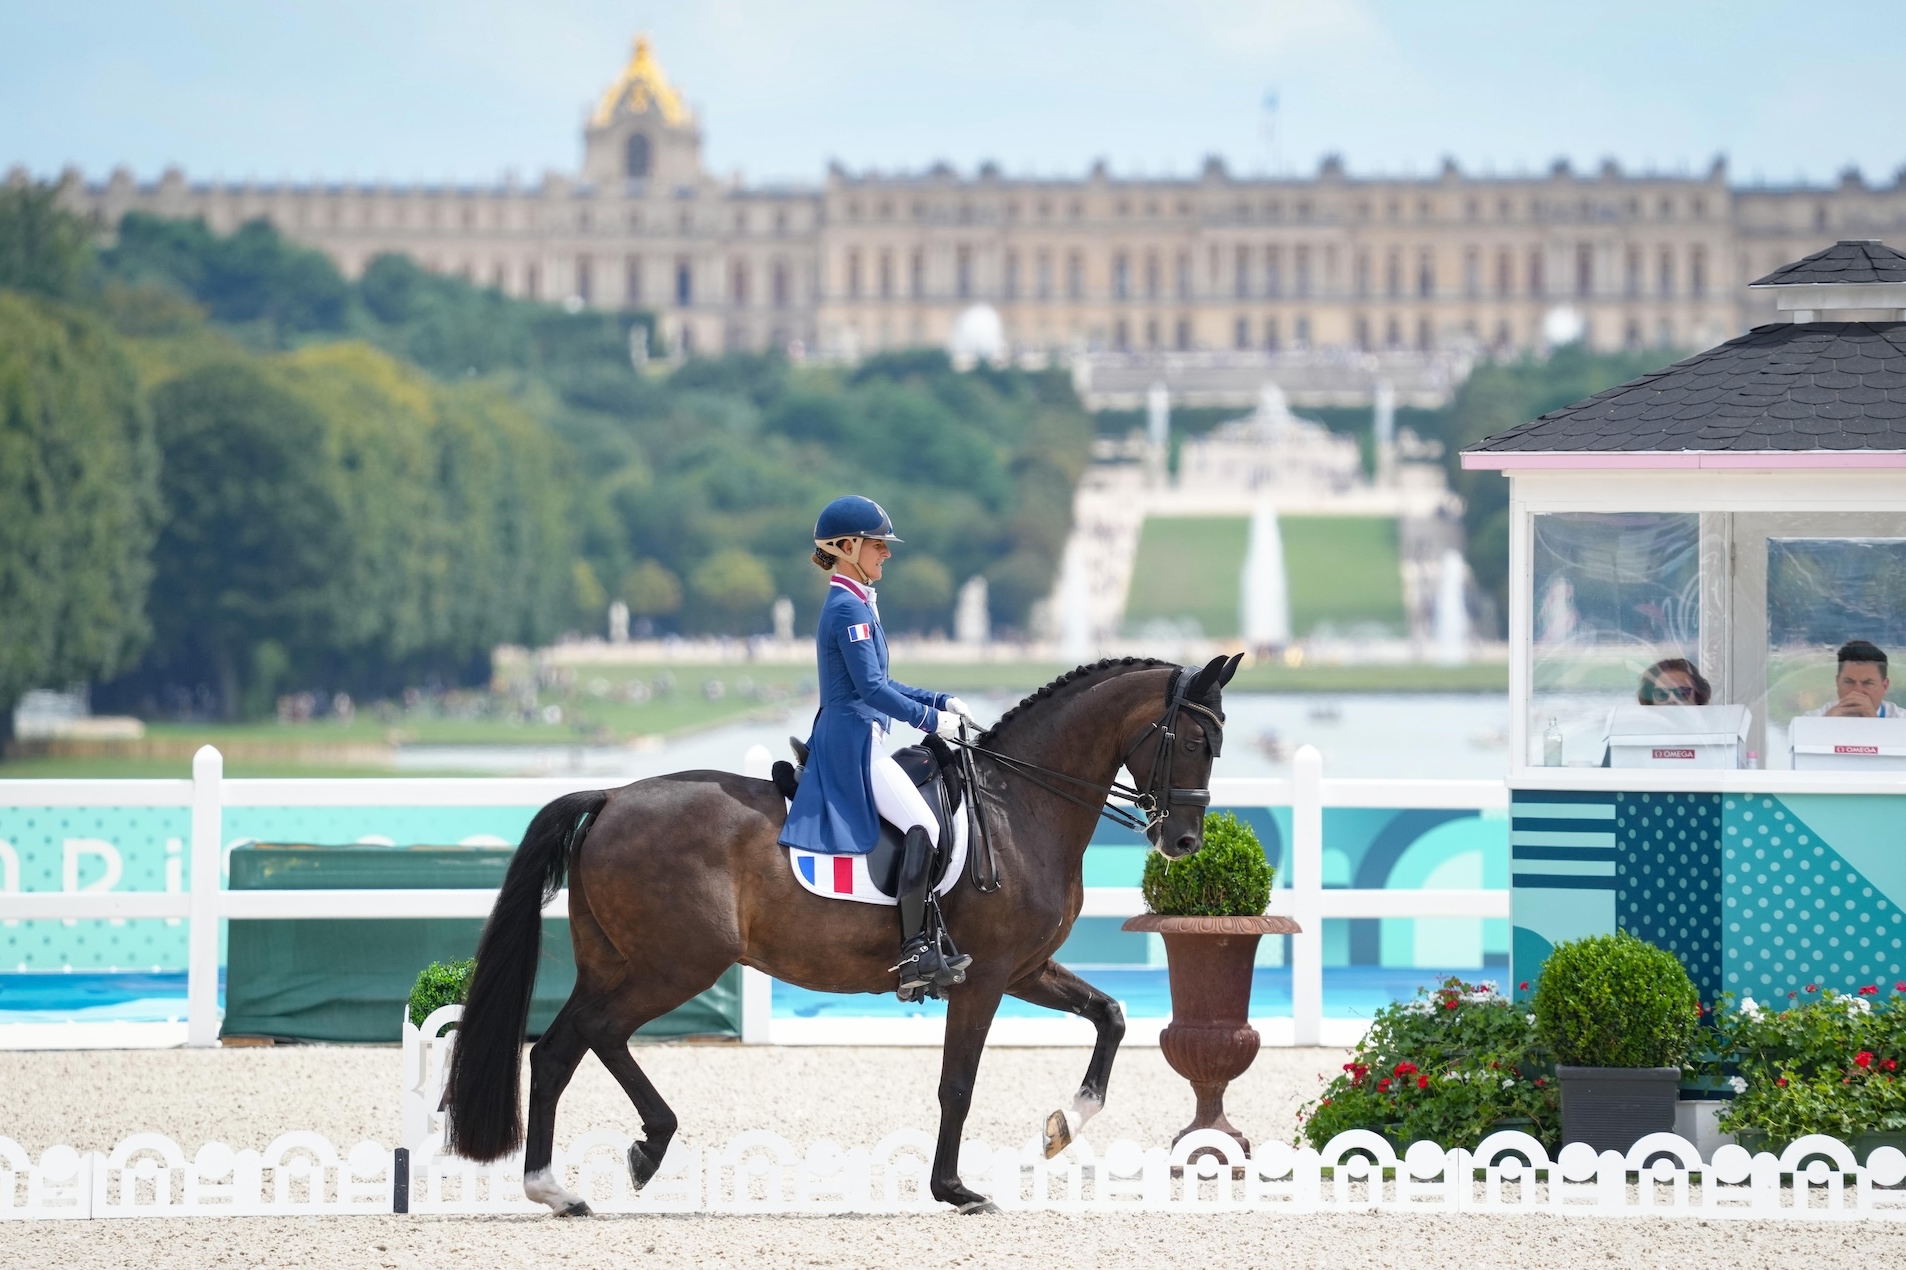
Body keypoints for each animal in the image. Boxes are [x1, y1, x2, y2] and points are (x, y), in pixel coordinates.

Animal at [440, 652, 1235, 1205]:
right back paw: (639, 1151)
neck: (1020, 805)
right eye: (1195, 741)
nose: (1185, 842)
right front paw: (954, 1189)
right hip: (676, 965)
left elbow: (1111, 1014)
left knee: (560, 1049)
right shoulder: (983, 977)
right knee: (597, 1034)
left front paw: (1066, 1122)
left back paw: (557, 1187)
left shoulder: (1026, 968)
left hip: (617, 961)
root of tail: (609, 797)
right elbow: (958, 1083)